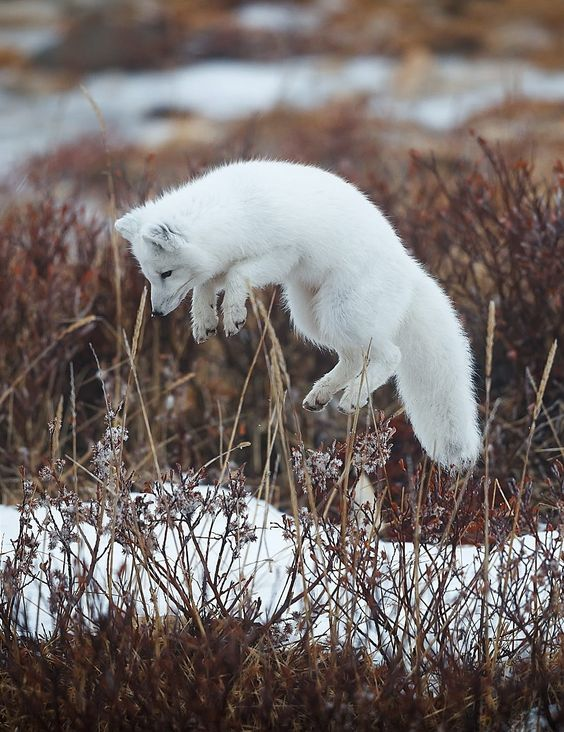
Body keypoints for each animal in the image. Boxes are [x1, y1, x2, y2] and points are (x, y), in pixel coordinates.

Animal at [115, 160, 481, 469]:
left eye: (166, 273)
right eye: (149, 276)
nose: (157, 313)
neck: (233, 213)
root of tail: (410, 271)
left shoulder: (280, 256)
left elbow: (235, 277)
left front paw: (232, 315)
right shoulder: (217, 263)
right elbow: (204, 285)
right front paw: (204, 321)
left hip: (341, 312)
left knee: (390, 355)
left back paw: (353, 398)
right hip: (311, 318)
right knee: (353, 357)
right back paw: (321, 395)